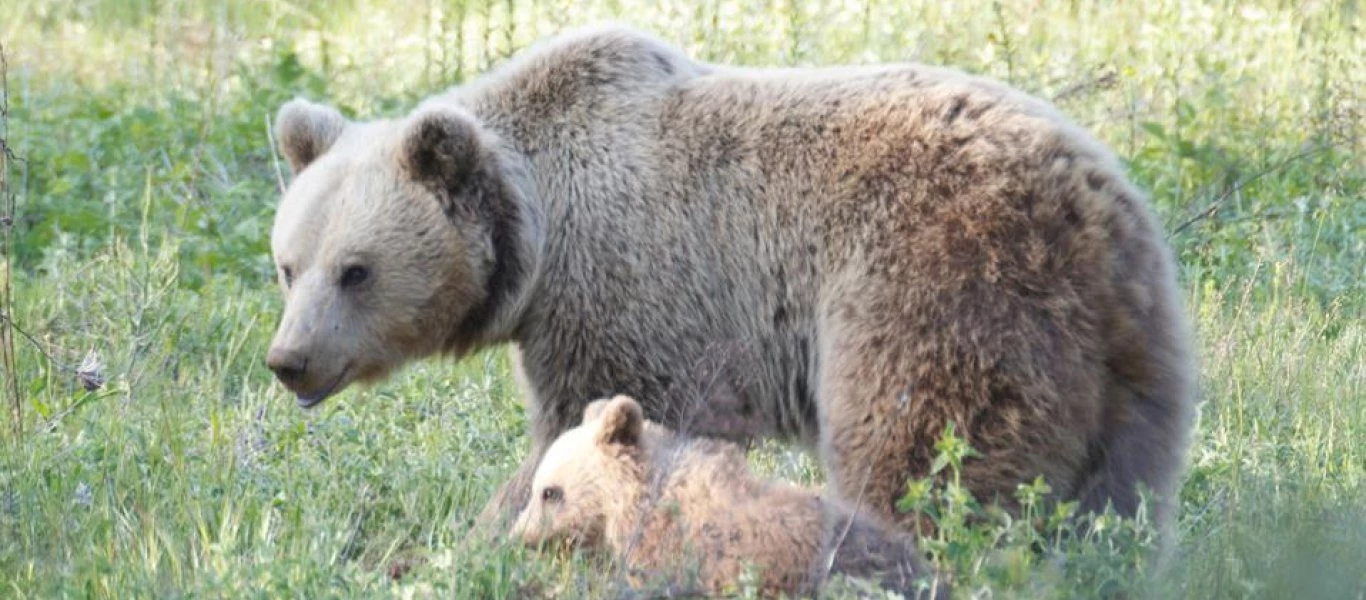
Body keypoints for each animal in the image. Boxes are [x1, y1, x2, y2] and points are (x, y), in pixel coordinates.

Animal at [263, 24, 1196, 535]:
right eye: (287, 265)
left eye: (356, 271)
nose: (290, 360)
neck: (538, 232)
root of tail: (1088, 213)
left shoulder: (625, 289)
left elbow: (588, 424)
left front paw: (490, 534)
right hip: (1130, 361)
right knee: (1118, 504)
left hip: (935, 285)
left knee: (923, 458)